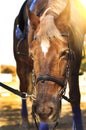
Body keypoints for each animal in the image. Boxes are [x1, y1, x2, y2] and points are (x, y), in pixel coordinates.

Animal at [13, 0, 85, 129]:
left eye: (64, 53)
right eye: (32, 55)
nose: (44, 110)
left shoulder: (75, 56)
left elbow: (75, 96)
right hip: (21, 67)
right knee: (23, 90)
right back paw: (25, 121)